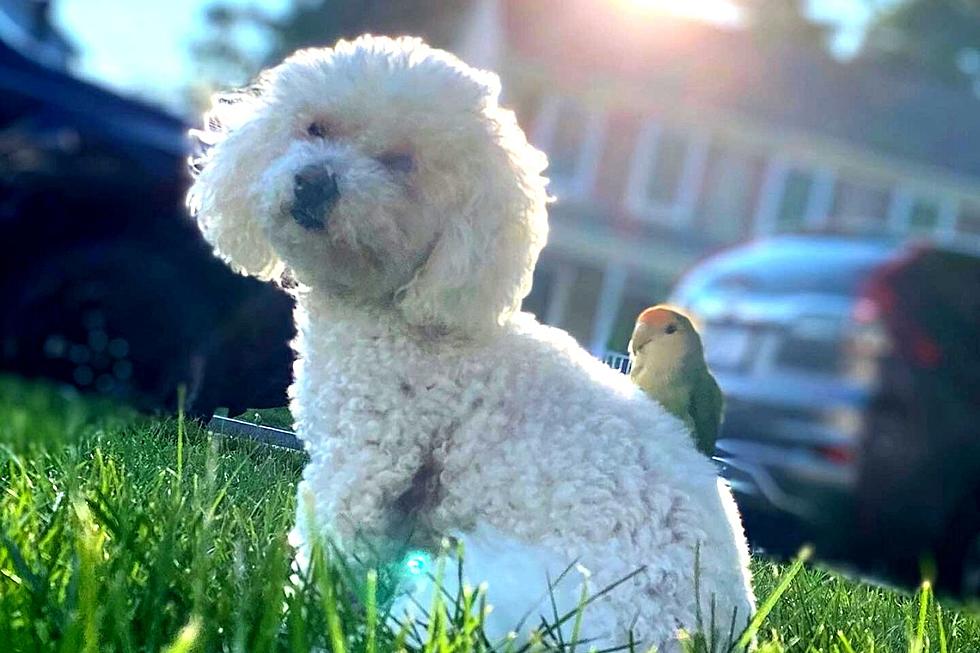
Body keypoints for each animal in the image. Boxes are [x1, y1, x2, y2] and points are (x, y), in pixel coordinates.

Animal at [191, 34, 756, 640]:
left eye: (403, 162)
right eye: (315, 127)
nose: (314, 181)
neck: (395, 307)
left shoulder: (370, 457)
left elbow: (331, 545)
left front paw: (295, 614)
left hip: (493, 591)